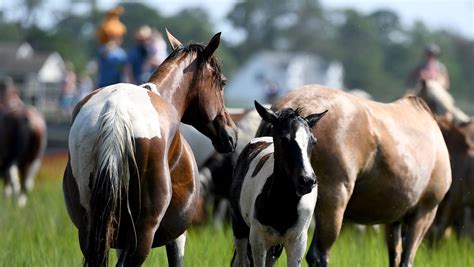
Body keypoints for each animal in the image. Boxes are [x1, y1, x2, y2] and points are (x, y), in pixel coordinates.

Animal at [0, 77, 46, 207]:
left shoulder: (6, 158)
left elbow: (9, 179)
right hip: (35, 159)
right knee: (26, 183)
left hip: (16, 158)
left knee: (16, 180)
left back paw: (15, 204)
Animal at [64, 30, 237, 266]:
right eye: (223, 83)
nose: (231, 134)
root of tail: (115, 110)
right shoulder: (177, 236)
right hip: (143, 235)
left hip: (90, 229)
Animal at [260, 86, 452, 267]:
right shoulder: (424, 214)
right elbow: (406, 260)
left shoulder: (393, 221)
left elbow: (395, 258)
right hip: (333, 204)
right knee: (318, 254)